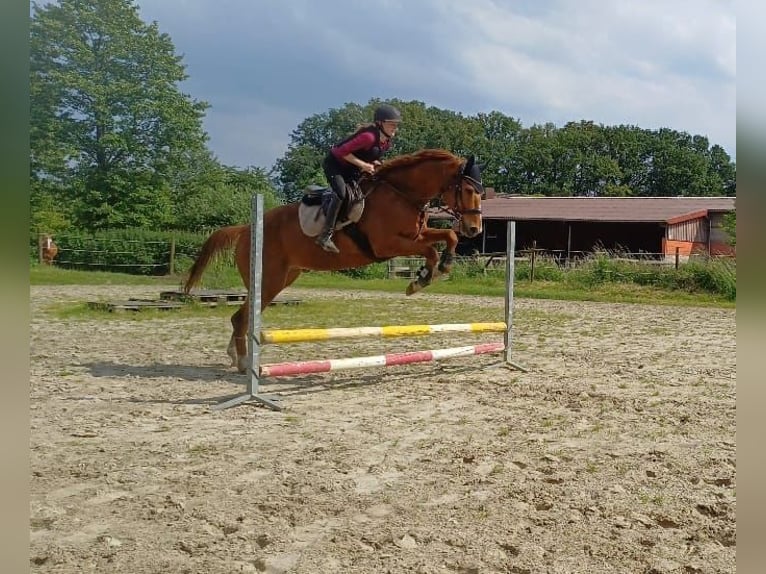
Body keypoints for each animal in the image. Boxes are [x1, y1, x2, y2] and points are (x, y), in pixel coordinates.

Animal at [186, 148, 486, 374]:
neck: (401, 193)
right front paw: (421, 280)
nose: (475, 229)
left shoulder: (417, 234)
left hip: (281, 279)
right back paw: (244, 363)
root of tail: (246, 228)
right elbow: (431, 250)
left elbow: (448, 236)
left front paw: (441, 267)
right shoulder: (387, 245)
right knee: (241, 317)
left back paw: (236, 357)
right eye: (467, 189)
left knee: (245, 316)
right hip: (269, 280)